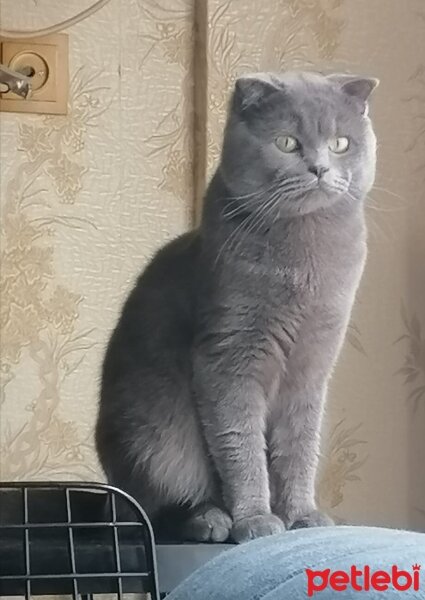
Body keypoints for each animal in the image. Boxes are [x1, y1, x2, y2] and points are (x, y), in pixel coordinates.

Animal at [97, 70, 378, 544]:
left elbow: (299, 448)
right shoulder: (228, 358)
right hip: (155, 438)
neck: (305, 263)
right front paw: (256, 520)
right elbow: (241, 447)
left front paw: (302, 514)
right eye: (286, 143)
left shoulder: (313, 367)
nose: (320, 168)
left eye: (341, 143)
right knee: (158, 511)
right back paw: (210, 520)